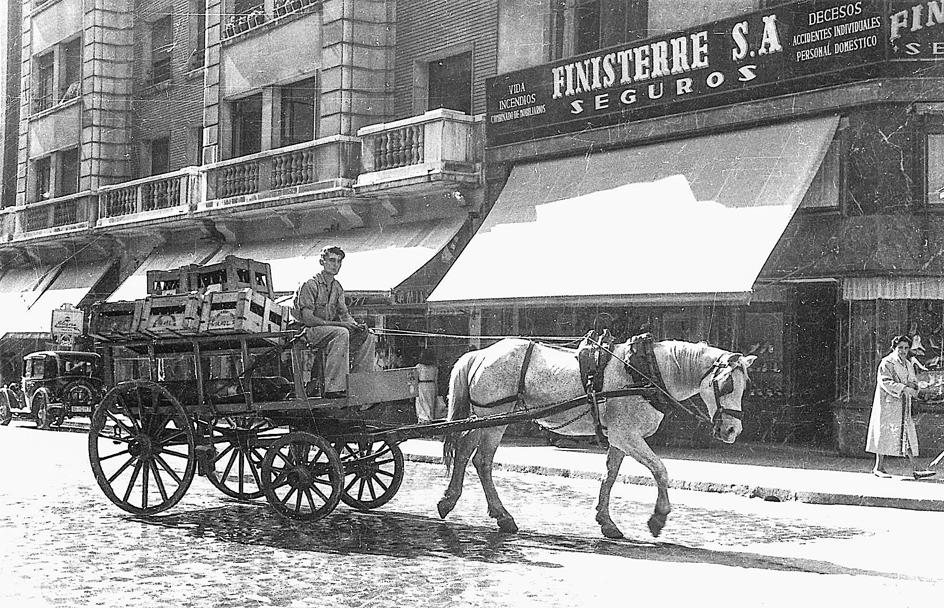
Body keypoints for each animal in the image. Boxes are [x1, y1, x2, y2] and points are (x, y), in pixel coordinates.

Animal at [438, 334, 756, 540]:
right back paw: (501, 515)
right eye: (727, 384)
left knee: (465, 452)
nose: (732, 430)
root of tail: (481, 354)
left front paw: (606, 521)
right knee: (482, 461)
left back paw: (450, 500)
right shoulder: (627, 436)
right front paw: (658, 517)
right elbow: (660, 470)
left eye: (745, 386)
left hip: (486, 419)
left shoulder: (619, 439)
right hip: (494, 419)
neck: (644, 372)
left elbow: (610, 476)